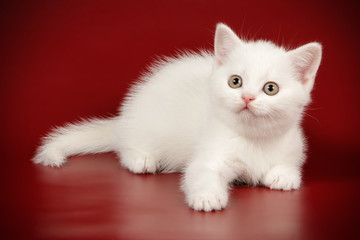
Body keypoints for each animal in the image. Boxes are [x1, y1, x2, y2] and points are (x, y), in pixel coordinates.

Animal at [33, 23, 320, 212]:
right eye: (235, 81)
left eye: (271, 88)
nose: (247, 97)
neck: (253, 139)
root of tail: (124, 118)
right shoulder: (207, 154)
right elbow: (201, 173)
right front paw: (207, 197)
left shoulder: (293, 148)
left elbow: (289, 168)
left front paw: (282, 176)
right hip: (144, 125)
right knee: (125, 147)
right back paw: (141, 159)